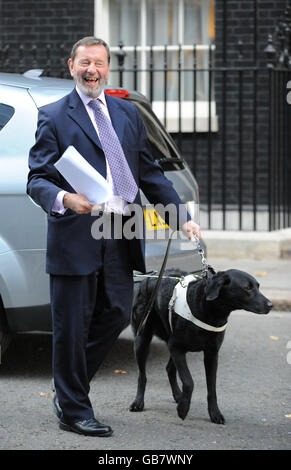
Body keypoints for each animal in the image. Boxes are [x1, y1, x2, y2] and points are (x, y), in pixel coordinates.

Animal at [130, 268, 274, 426]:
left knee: (169, 369)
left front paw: (214, 413)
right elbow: (189, 381)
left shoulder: (211, 354)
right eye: (247, 288)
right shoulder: (176, 347)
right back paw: (138, 402)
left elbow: (212, 387)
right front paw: (183, 409)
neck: (208, 310)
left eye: (258, 286)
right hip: (142, 339)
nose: (270, 305)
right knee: (142, 376)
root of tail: (148, 277)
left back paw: (178, 396)